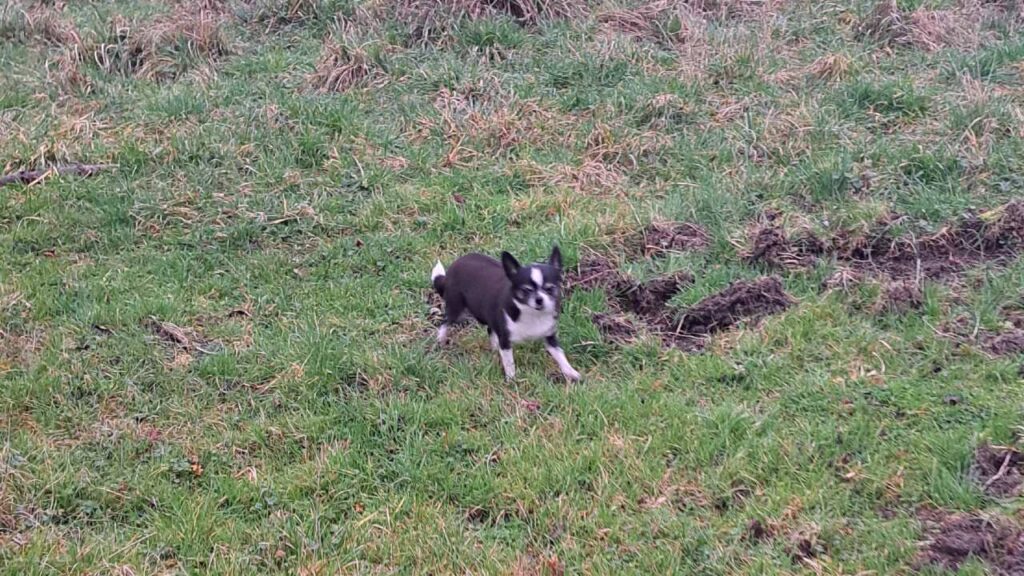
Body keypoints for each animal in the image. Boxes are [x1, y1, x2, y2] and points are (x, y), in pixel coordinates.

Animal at [428, 242, 581, 381]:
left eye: (550, 289)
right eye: (526, 290)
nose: (539, 299)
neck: (533, 314)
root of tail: (451, 270)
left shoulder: (550, 338)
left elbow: (560, 355)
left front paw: (571, 372)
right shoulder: (506, 341)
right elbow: (509, 363)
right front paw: (511, 379)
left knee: (490, 329)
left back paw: (495, 350)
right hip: (457, 309)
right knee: (445, 322)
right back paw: (440, 339)